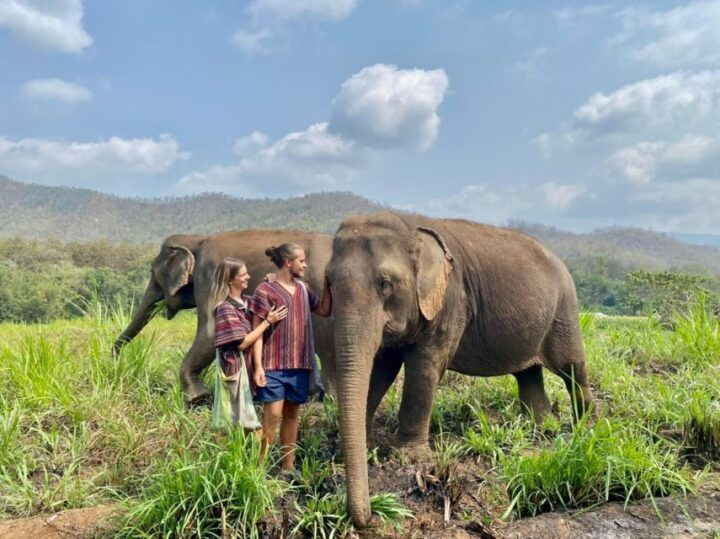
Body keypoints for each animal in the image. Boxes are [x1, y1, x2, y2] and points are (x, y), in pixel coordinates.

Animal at [113, 230, 338, 402]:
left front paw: (197, 398)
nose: (117, 360)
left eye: (153, 273)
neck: (196, 239)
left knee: (328, 349)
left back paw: (328, 400)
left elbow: (210, 333)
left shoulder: (209, 276)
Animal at [328, 212, 596, 528]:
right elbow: (382, 368)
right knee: (528, 375)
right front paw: (360, 449)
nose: (368, 517)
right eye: (328, 282)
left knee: (572, 369)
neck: (408, 224)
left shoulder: (451, 301)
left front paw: (409, 458)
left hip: (565, 311)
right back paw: (541, 429)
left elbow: (425, 366)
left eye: (385, 284)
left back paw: (585, 427)